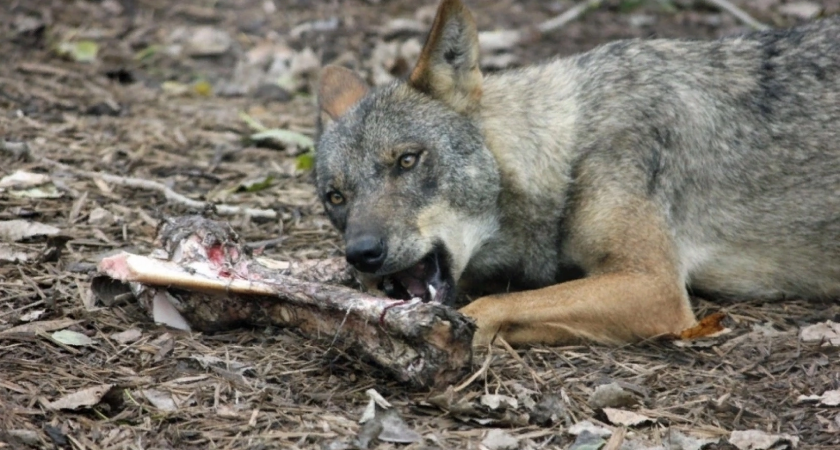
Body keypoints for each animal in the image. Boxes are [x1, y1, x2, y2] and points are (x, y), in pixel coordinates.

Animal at [314, 0, 840, 346]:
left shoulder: (653, 286)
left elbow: (492, 307)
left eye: (407, 160)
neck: (568, 151)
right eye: (335, 197)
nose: (362, 254)